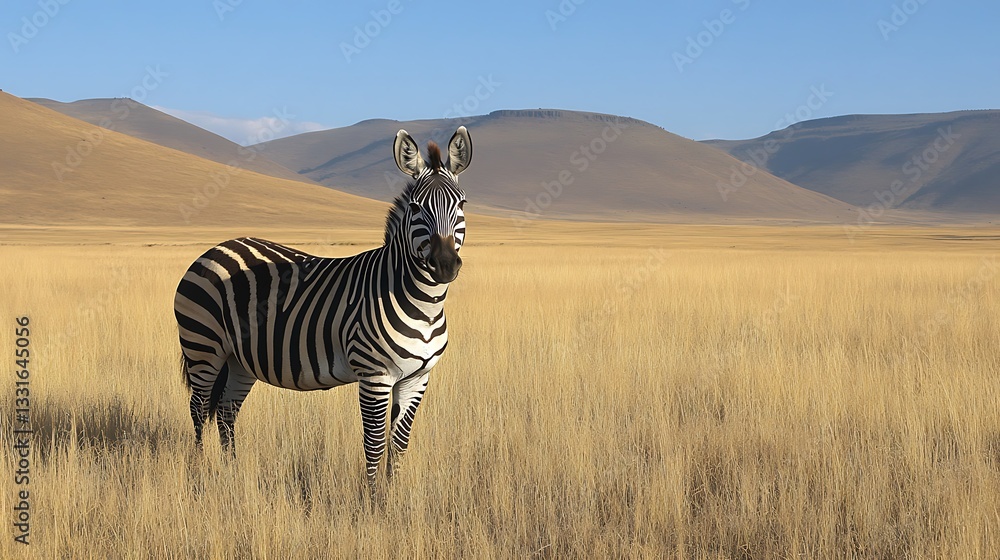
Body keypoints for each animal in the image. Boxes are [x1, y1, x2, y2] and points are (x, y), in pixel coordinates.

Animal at [174, 126, 472, 494]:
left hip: (239, 359)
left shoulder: (417, 377)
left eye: (462, 204)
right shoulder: (374, 375)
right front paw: (373, 500)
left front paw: (393, 495)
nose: (444, 265)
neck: (424, 305)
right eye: (416, 208)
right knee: (199, 408)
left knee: (227, 411)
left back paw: (233, 474)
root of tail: (216, 247)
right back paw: (200, 474)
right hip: (203, 346)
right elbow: (374, 443)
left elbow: (400, 443)